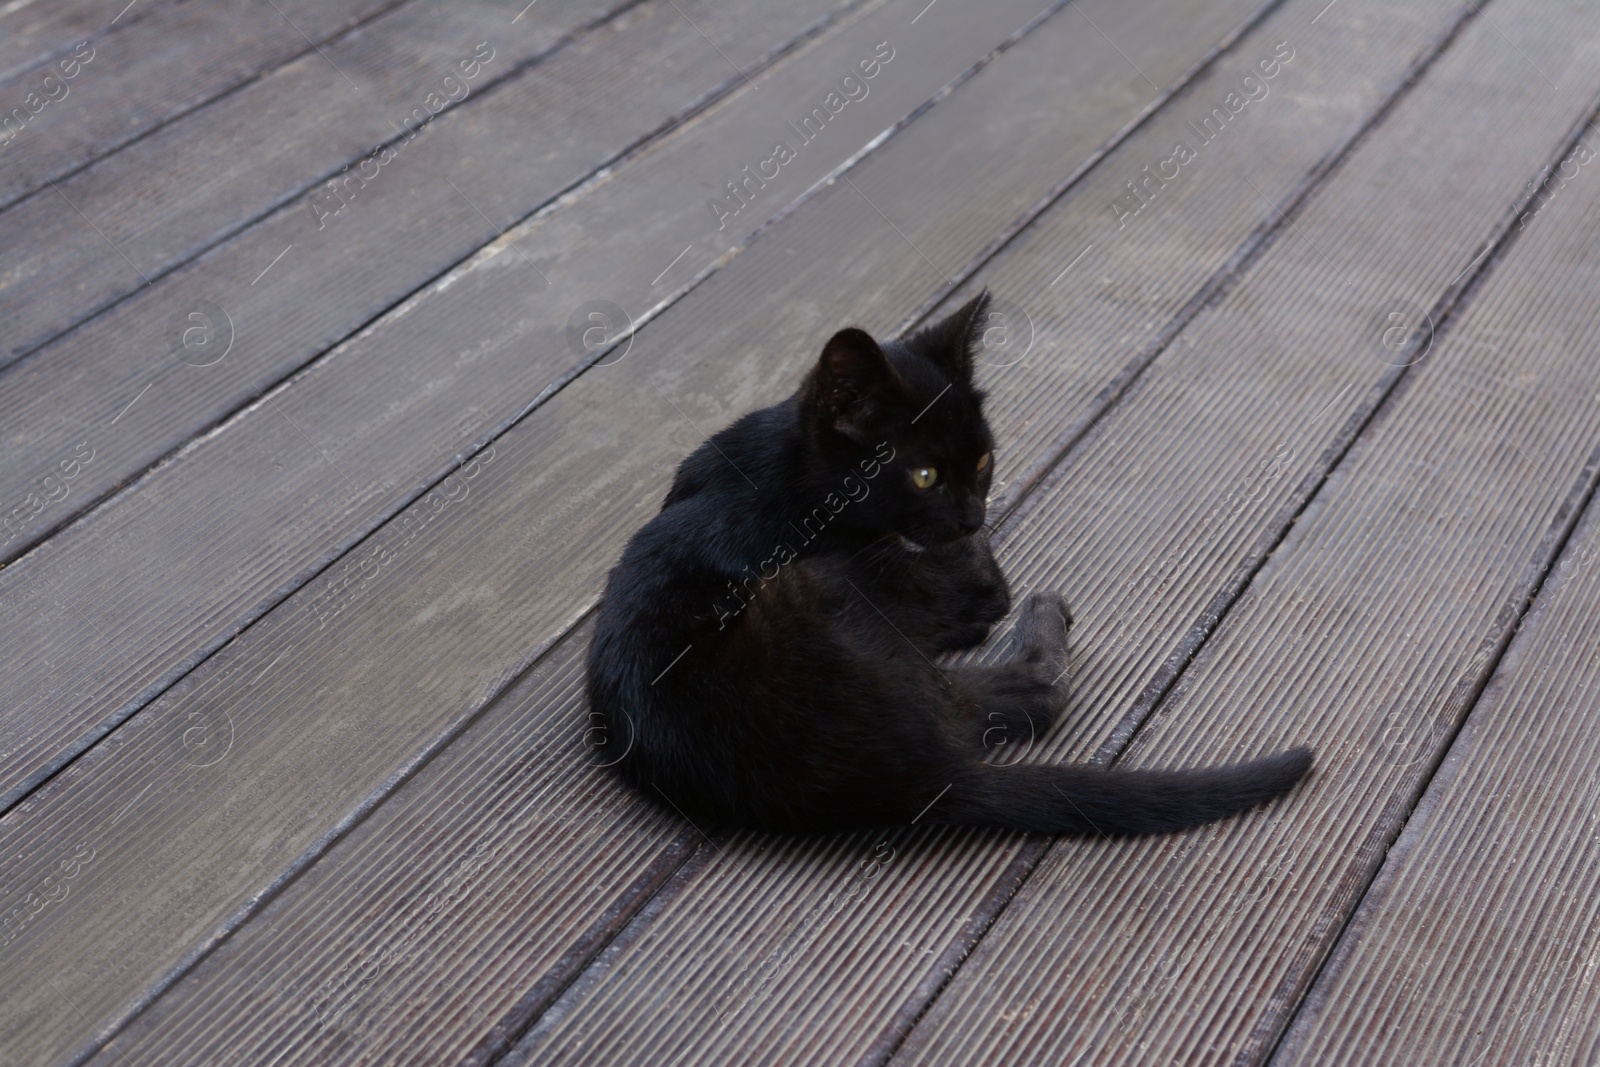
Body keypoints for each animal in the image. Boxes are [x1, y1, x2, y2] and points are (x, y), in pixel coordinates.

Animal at [588, 289, 1312, 831]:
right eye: (925, 474)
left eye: (984, 458)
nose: (973, 516)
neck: (785, 472)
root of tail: (917, 778)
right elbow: (981, 585)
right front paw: (985, 576)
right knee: (1038, 692)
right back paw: (1043, 613)